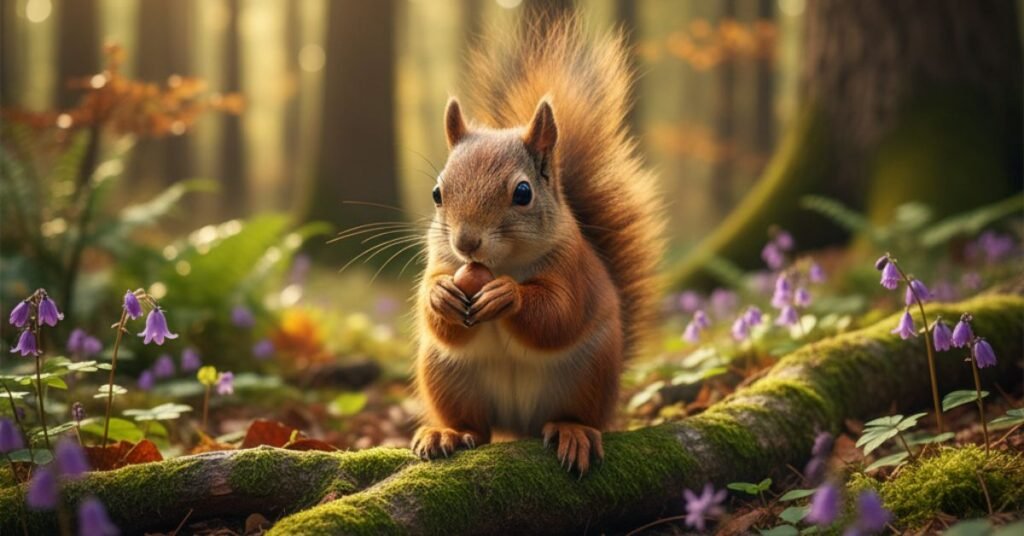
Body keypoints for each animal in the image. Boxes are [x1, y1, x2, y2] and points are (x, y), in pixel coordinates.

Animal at [412, 16, 664, 474]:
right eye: (438, 193)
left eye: (523, 193)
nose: (466, 242)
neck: (501, 265)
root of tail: (518, 425)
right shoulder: (439, 260)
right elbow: (436, 316)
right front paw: (440, 294)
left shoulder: (572, 269)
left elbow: (558, 315)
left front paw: (506, 295)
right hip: (446, 375)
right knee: (475, 427)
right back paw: (448, 433)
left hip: (588, 376)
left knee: (574, 414)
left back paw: (572, 431)